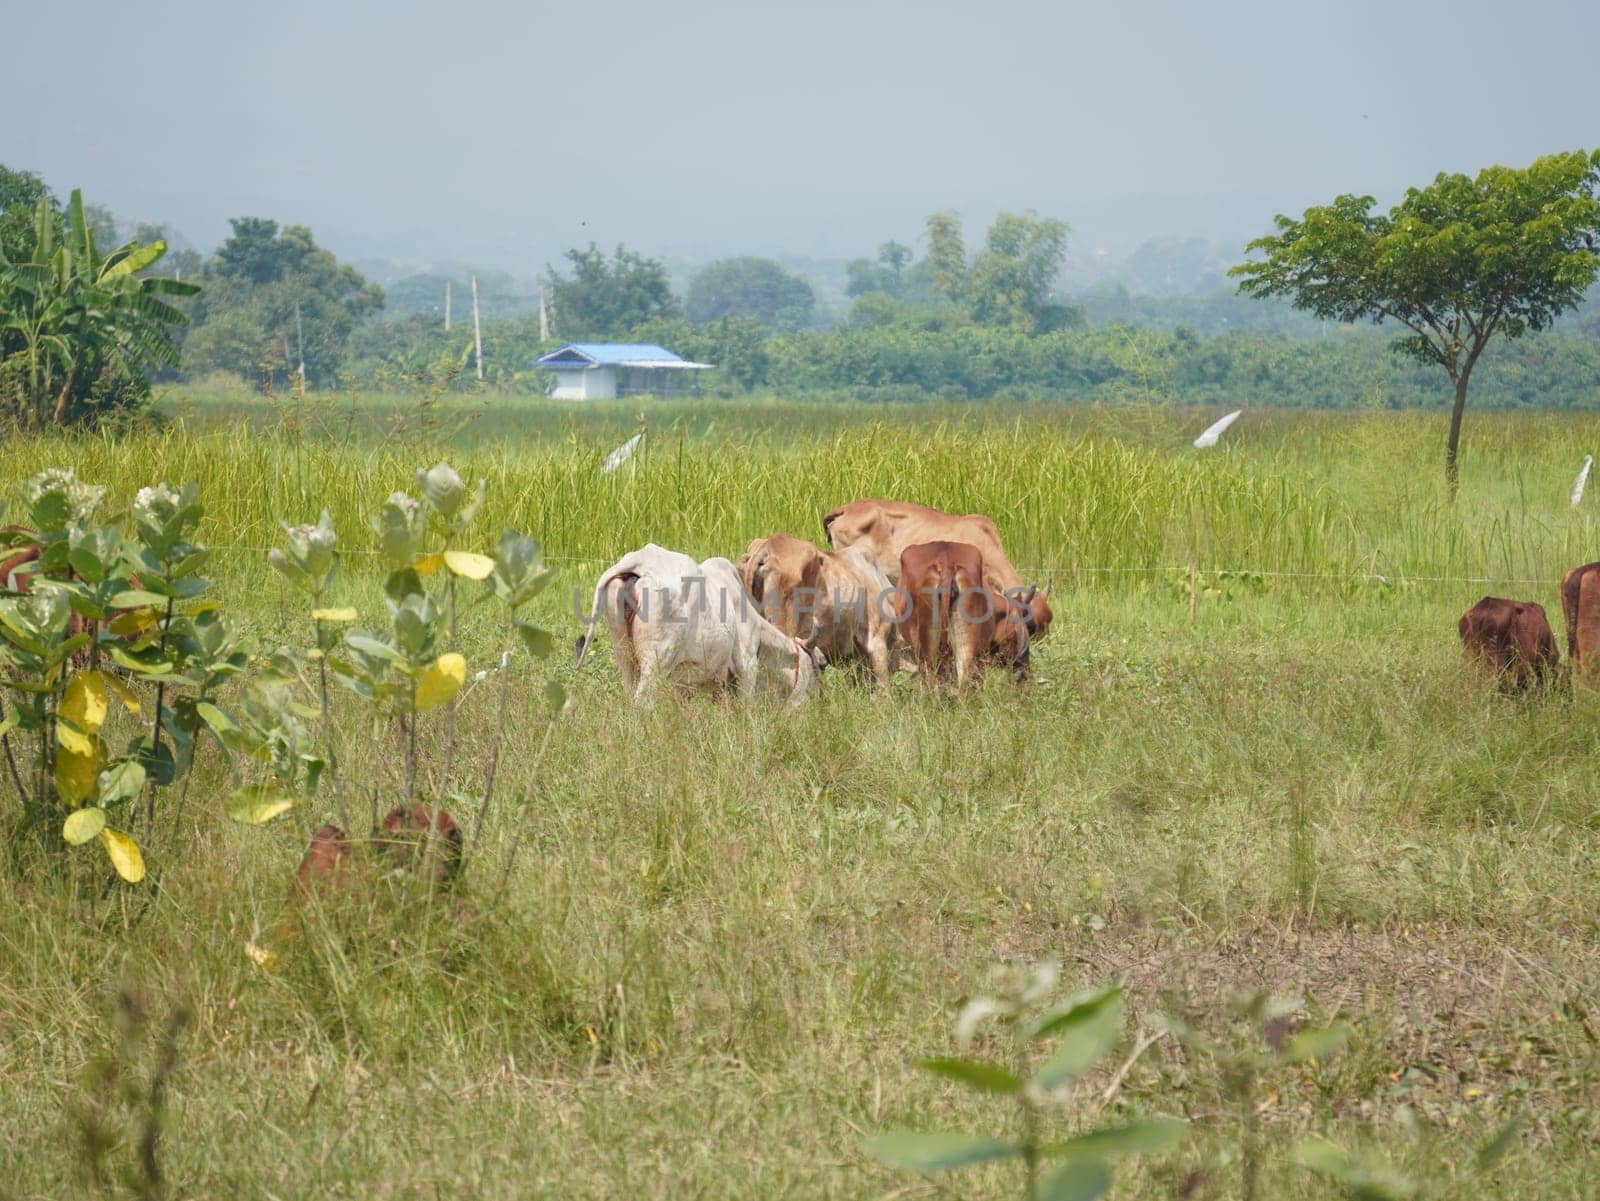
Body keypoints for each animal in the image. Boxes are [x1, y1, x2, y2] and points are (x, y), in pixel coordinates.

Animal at [576, 543, 825, 703]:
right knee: (642, 700)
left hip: (624, 653)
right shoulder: (746, 665)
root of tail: (639, 562)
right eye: (820, 667)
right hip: (656, 660)